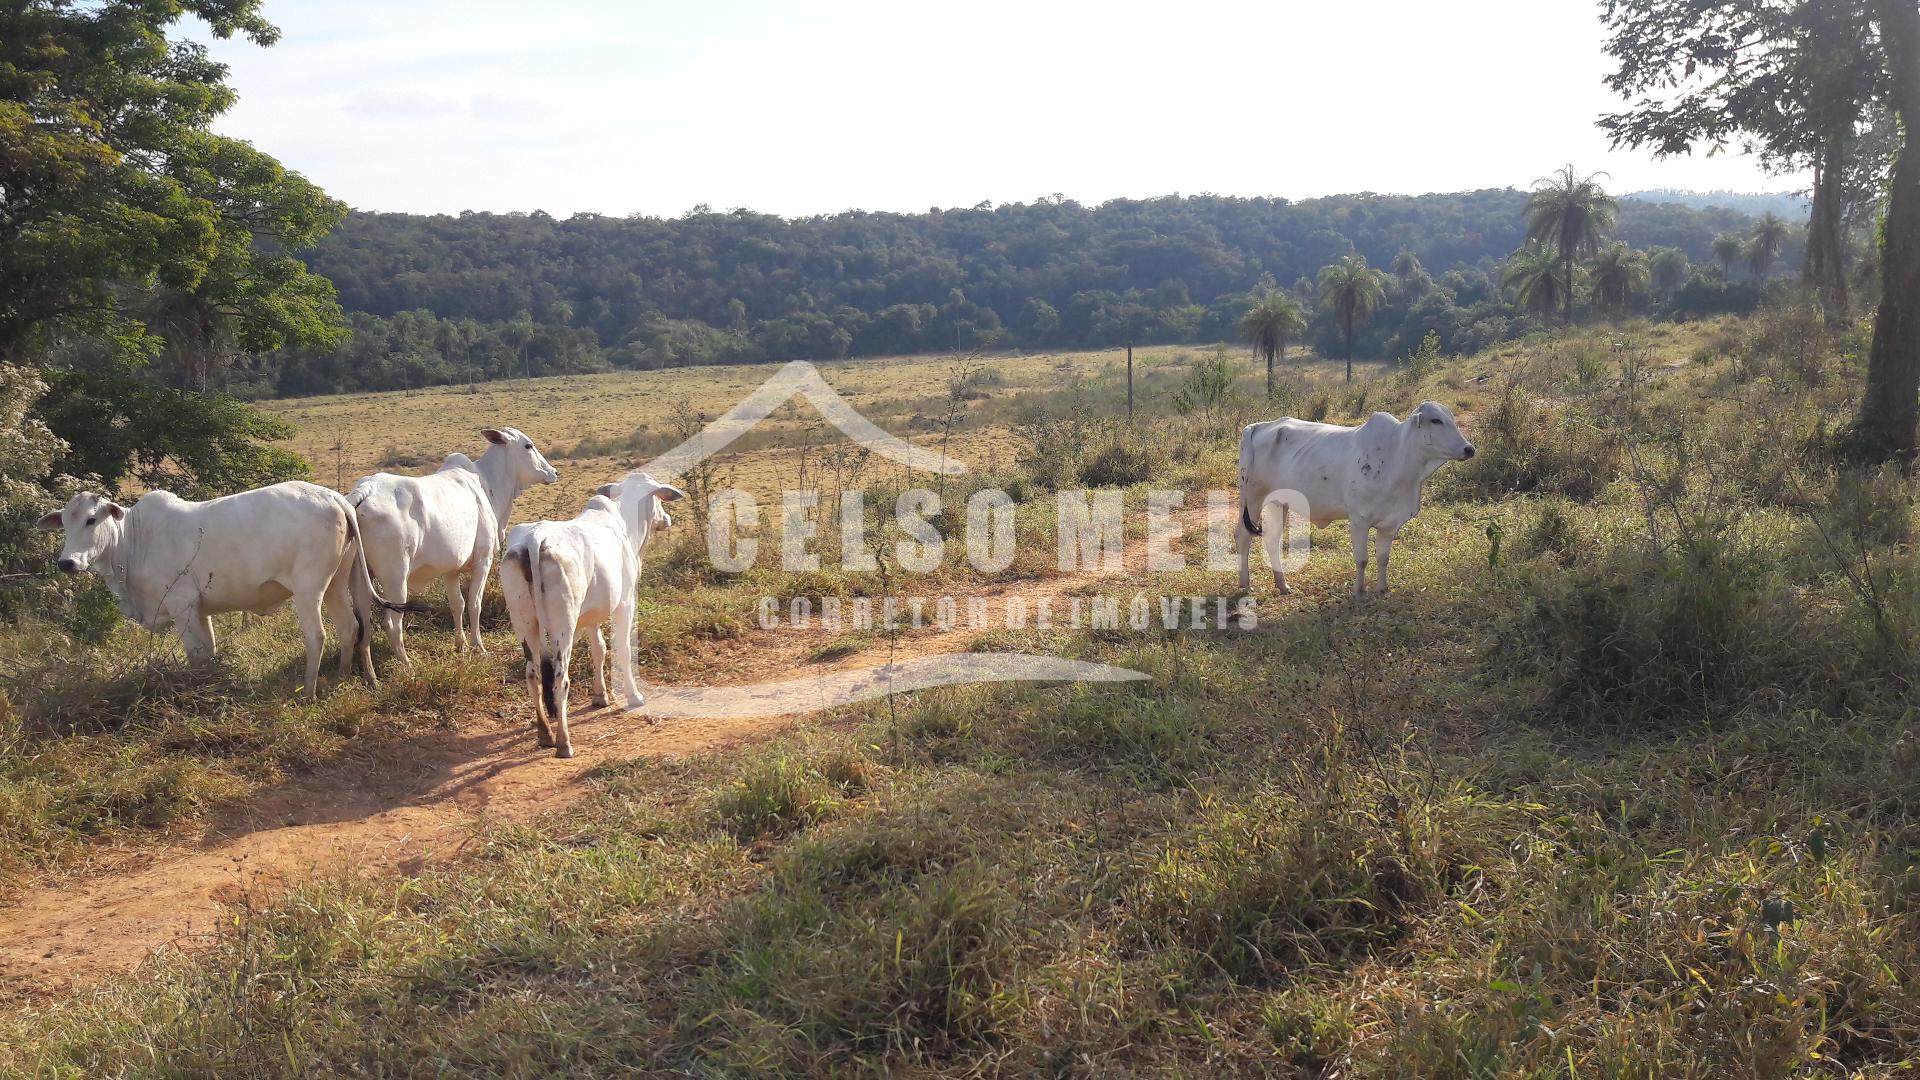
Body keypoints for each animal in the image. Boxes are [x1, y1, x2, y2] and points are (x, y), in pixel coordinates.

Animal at [36, 476, 401, 687]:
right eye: (64, 524)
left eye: (91, 519)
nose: (67, 562)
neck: (133, 540)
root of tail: (336, 499)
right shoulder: (201, 610)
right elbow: (208, 654)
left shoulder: (182, 606)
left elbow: (197, 654)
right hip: (340, 582)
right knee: (351, 628)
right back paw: (348, 677)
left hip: (308, 589)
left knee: (318, 635)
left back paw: (308, 690)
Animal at [499, 470, 687, 757]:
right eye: (657, 498)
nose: (666, 519)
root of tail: (535, 537)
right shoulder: (625, 603)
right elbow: (622, 649)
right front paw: (633, 696)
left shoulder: (589, 616)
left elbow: (598, 649)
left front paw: (600, 696)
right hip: (562, 624)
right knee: (559, 677)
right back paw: (563, 742)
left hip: (524, 622)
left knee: (533, 673)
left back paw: (544, 733)